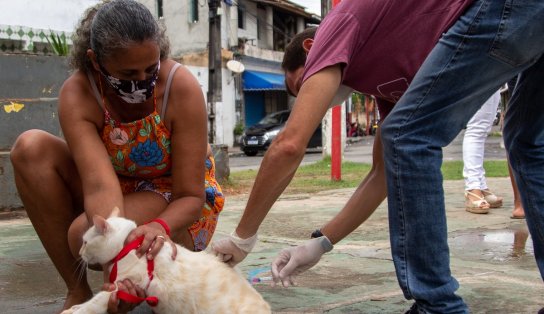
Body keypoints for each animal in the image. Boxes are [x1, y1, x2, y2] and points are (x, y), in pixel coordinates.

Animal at [62, 209, 272, 314]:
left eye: (85, 242)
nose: (79, 252)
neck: (125, 248)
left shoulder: (124, 284)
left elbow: (95, 303)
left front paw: (75, 311)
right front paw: (75, 307)